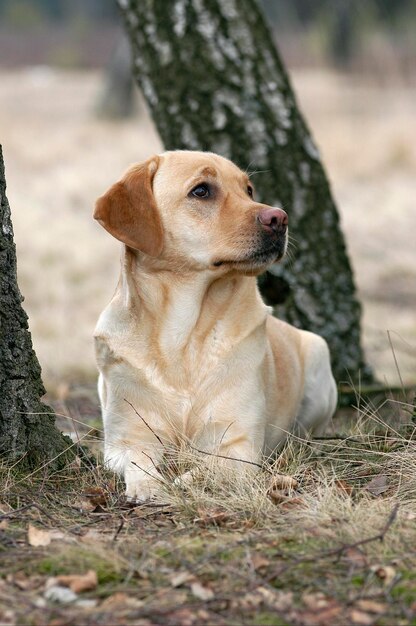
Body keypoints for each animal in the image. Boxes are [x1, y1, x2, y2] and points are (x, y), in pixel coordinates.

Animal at [94, 150, 338, 498]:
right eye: (201, 191)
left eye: (248, 190)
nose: (280, 218)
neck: (181, 337)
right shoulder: (124, 439)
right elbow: (139, 461)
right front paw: (148, 487)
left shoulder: (238, 444)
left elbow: (207, 470)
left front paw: (181, 485)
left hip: (318, 363)